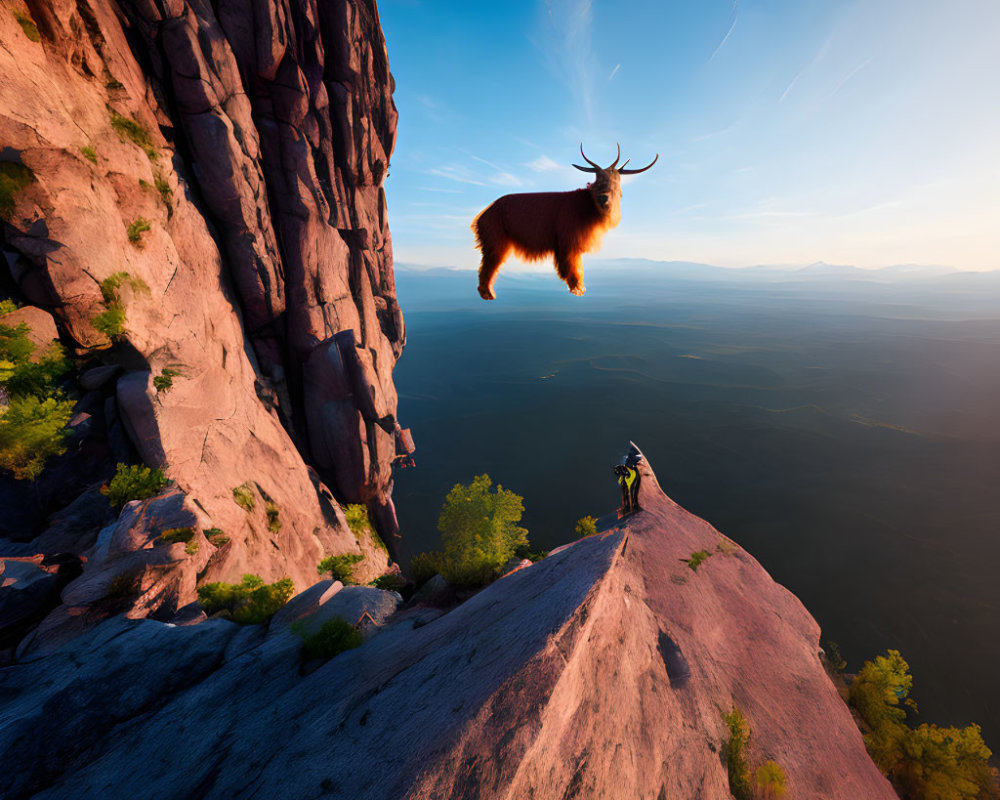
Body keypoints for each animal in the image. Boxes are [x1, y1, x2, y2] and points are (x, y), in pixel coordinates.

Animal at [474, 145, 660, 300]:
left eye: (615, 180)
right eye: (598, 178)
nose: (603, 197)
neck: (588, 207)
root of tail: (483, 214)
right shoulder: (568, 241)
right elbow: (573, 267)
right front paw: (578, 289)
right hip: (496, 241)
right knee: (487, 267)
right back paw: (488, 294)